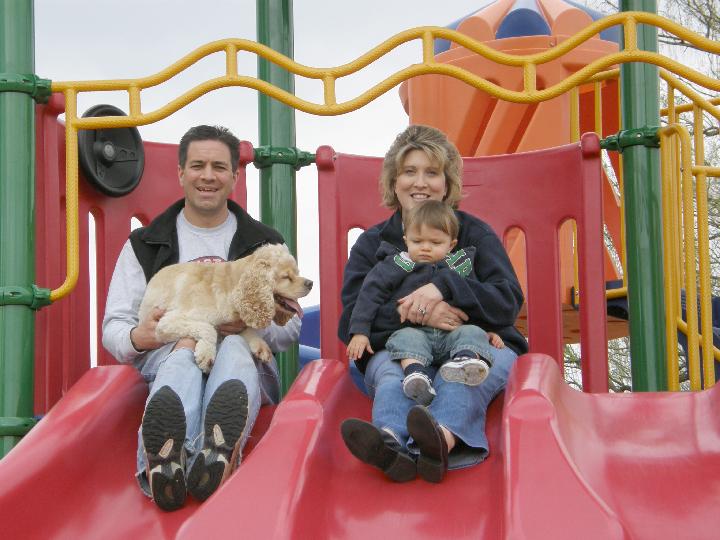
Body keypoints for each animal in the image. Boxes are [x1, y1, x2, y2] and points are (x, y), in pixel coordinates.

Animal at [138, 243, 313, 373]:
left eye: (297, 272)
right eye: (286, 277)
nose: (310, 283)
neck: (231, 286)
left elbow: (247, 330)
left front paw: (260, 346)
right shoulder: (167, 322)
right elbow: (208, 328)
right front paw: (206, 354)